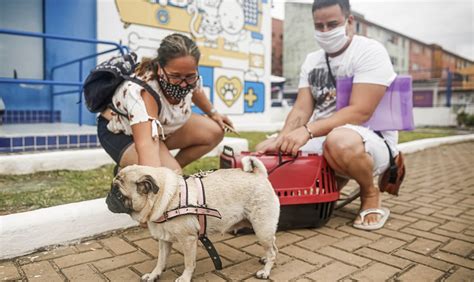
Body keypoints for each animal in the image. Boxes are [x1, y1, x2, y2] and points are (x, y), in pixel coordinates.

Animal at [105, 156, 280, 282]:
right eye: (111, 189)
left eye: (119, 194)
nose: (108, 199)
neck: (166, 197)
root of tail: (259, 175)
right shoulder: (164, 240)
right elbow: (161, 261)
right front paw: (154, 274)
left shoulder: (188, 240)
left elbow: (188, 262)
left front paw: (185, 277)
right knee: (273, 246)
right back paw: (265, 259)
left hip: (261, 228)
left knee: (272, 250)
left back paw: (265, 271)